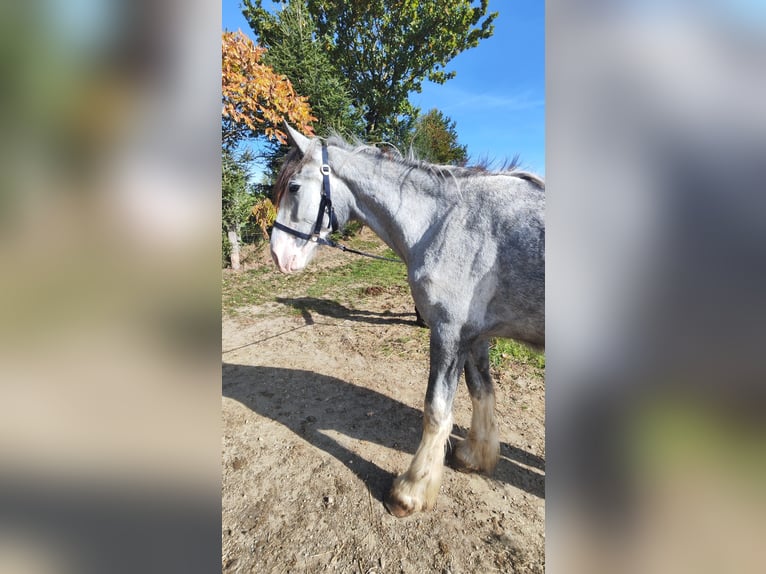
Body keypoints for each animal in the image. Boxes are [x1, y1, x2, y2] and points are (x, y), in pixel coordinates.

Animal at [270, 123, 545, 517]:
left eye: (293, 187)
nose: (278, 255)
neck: (446, 222)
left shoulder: (447, 333)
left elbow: (436, 410)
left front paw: (410, 492)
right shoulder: (474, 336)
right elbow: (482, 391)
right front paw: (476, 456)